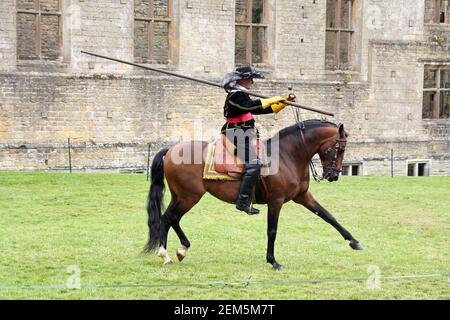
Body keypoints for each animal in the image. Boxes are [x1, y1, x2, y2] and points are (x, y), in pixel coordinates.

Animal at [144, 119, 362, 268]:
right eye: (340, 149)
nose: (333, 175)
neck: (286, 155)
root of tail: (171, 150)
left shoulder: (303, 197)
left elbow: (328, 216)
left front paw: (354, 241)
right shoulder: (276, 201)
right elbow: (272, 230)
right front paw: (273, 261)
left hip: (181, 197)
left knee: (172, 219)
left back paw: (181, 249)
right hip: (189, 197)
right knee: (168, 218)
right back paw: (166, 254)